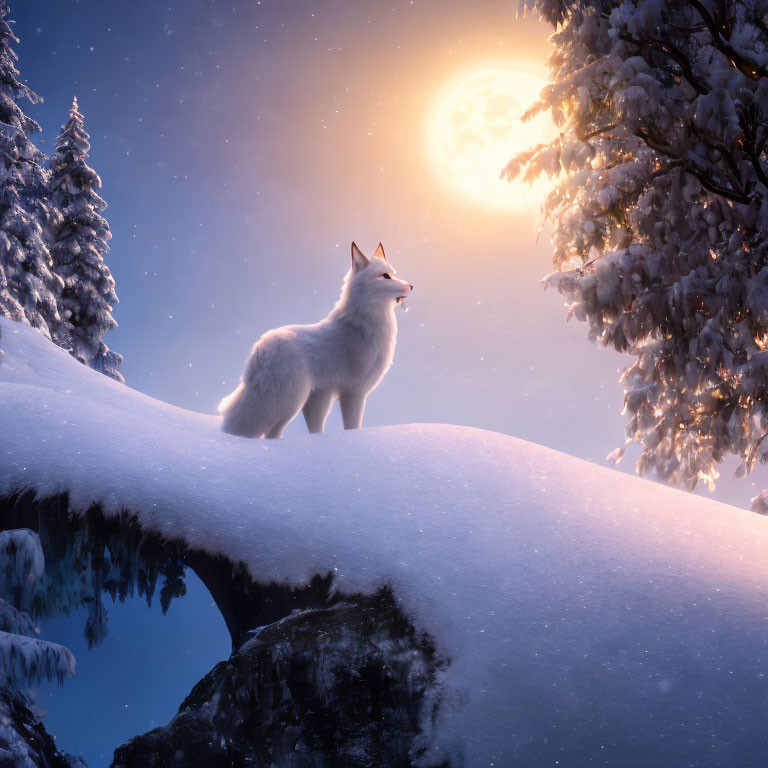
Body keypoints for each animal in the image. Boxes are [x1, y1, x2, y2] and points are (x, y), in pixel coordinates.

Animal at [219, 243, 412, 440]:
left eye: (393, 273)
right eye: (385, 276)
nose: (411, 286)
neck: (361, 325)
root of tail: (258, 352)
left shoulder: (330, 393)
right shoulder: (353, 391)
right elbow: (353, 427)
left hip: (306, 401)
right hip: (292, 402)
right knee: (269, 433)